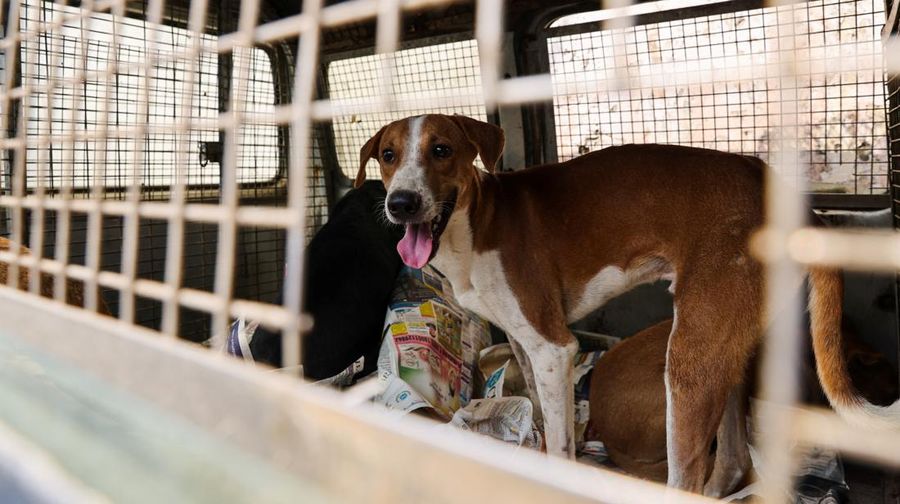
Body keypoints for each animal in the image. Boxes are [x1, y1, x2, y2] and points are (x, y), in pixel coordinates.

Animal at [356, 113, 900, 492]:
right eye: (387, 155)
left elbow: (562, 446)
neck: (474, 222)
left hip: (688, 361)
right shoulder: (525, 347)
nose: (400, 203)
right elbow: (542, 419)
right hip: (723, 347)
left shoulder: (554, 348)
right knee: (732, 460)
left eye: (441, 150)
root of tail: (779, 187)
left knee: (690, 472)